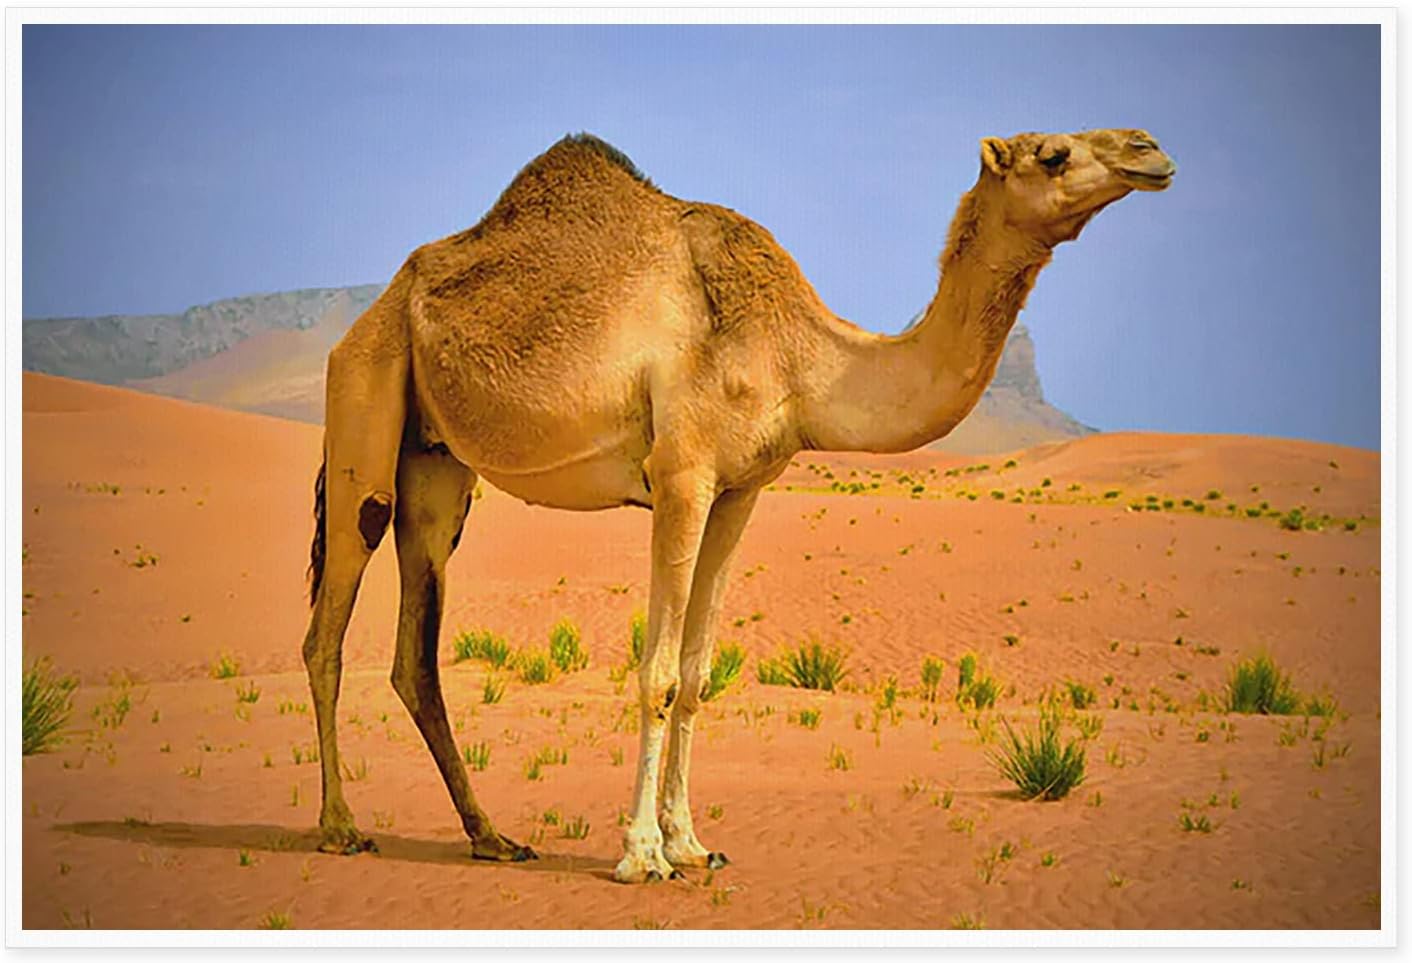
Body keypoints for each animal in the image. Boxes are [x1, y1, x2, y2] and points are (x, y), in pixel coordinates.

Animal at [300, 128, 1174, 882]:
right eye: (1053, 153)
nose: (1151, 150)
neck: (801, 356)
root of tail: (375, 309)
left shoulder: (741, 488)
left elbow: (696, 673)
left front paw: (692, 843)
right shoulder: (681, 474)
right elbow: (655, 672)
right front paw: (641, 855)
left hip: (438, 468)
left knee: (416, 654)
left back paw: (492, 836)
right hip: (366, 397)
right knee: (327, 626)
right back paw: (340, 826)